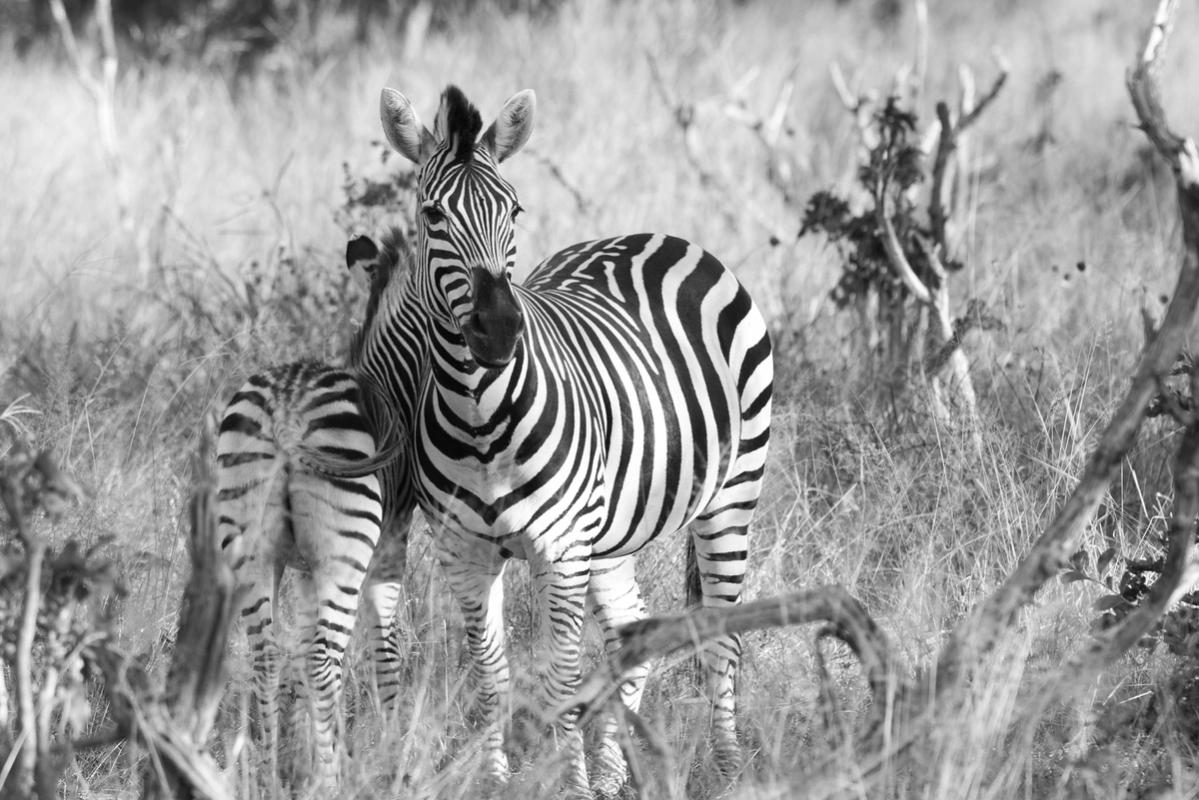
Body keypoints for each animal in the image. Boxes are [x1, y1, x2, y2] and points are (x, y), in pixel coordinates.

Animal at [220, 244, 412, 782]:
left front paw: (311, 746)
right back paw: (328, 781)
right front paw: (385, 752)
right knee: (326, 656)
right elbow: (383, 647)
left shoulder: (304, 568)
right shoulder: (389, 545)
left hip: (251, 547)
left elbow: (303, 649)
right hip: (344, 551)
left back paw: (267, 772)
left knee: (267, 654)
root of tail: (288, 410)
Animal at [364, 84, 772, 796]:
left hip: (730, 494)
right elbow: (491, 678)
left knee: (723, 638)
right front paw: (500, 783)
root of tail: (660, 236)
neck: (480, 420)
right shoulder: (466, 554)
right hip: (608, 532)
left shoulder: (559, 550)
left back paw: (725, 770)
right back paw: (612, 774)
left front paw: (570, 785)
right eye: (432, 214)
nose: (499, 331)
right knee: (631, 625)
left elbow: (560, 683)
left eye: (515, 210)